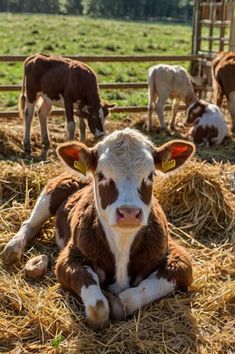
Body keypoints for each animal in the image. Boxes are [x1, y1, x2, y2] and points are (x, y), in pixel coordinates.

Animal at [3, 127, 195, 330]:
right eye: (101, 175)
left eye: (150, 174)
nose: (129, 213)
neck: (122, 243)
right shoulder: (69, 258)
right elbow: (98, 308)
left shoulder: (178, 257)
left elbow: (127, 299)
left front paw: (117, 301)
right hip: (53, 190)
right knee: (30, 224)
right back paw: (13, 248)